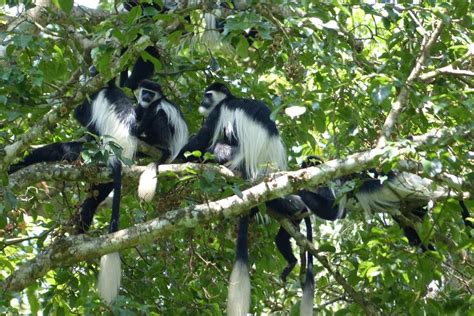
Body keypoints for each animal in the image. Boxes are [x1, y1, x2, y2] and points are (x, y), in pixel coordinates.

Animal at [179, 83, 288, 316]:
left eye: (208, 95)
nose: (202, 101)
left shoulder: (220, 113)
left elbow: (201, 139)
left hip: (236, 156)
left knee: (220, 146)